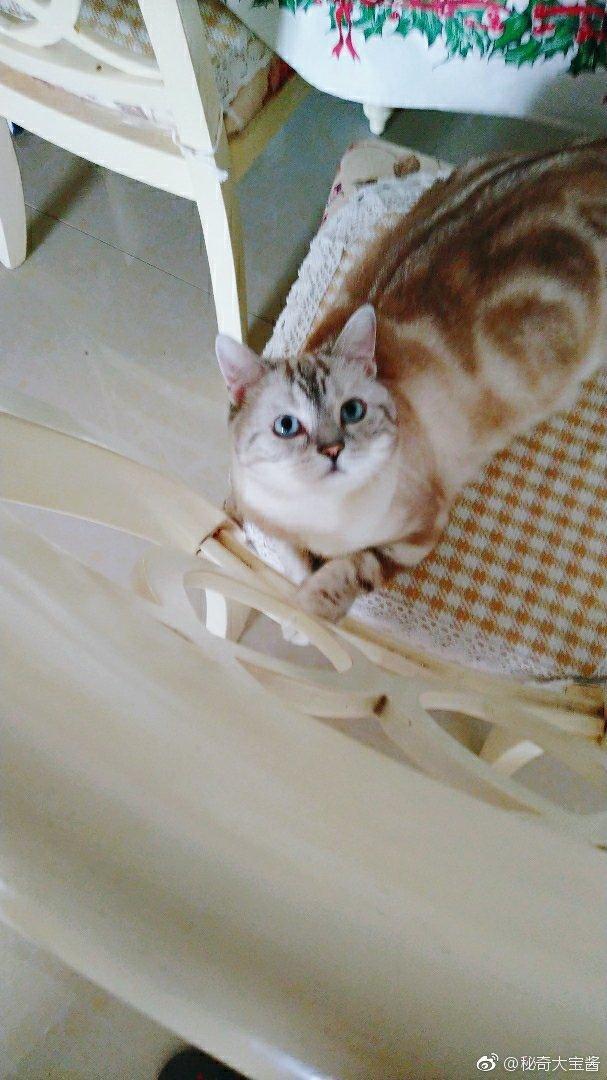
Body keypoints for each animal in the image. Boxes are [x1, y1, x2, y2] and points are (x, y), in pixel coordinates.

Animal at [216, 139, 607, 623]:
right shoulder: (261, 513)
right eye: (287, 426)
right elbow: (290, 557)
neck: (323, 520)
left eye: (352, 411)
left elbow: (356, 568)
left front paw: (310, 611)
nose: (332, 450)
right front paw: (300, 593)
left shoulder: (421, 530)